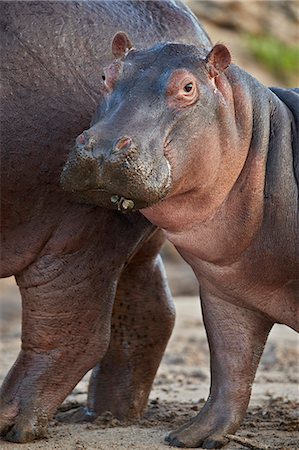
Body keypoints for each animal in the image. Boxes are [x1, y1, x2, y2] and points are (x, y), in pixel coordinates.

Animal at [0, 0, 212, 442]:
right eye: (105, 77)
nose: (102, 149)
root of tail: (191, 28)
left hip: (77, 229)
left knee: (72, 326)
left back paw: (14, 422)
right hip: (128, 230)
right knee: (151, 309)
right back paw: (103, 415)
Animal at [62, 33, 298, 448]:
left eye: (188, 87)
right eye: (106, 74)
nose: (103, 148)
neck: (267, 140)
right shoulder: (226, 293)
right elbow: (229, 367)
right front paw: (192, 436)